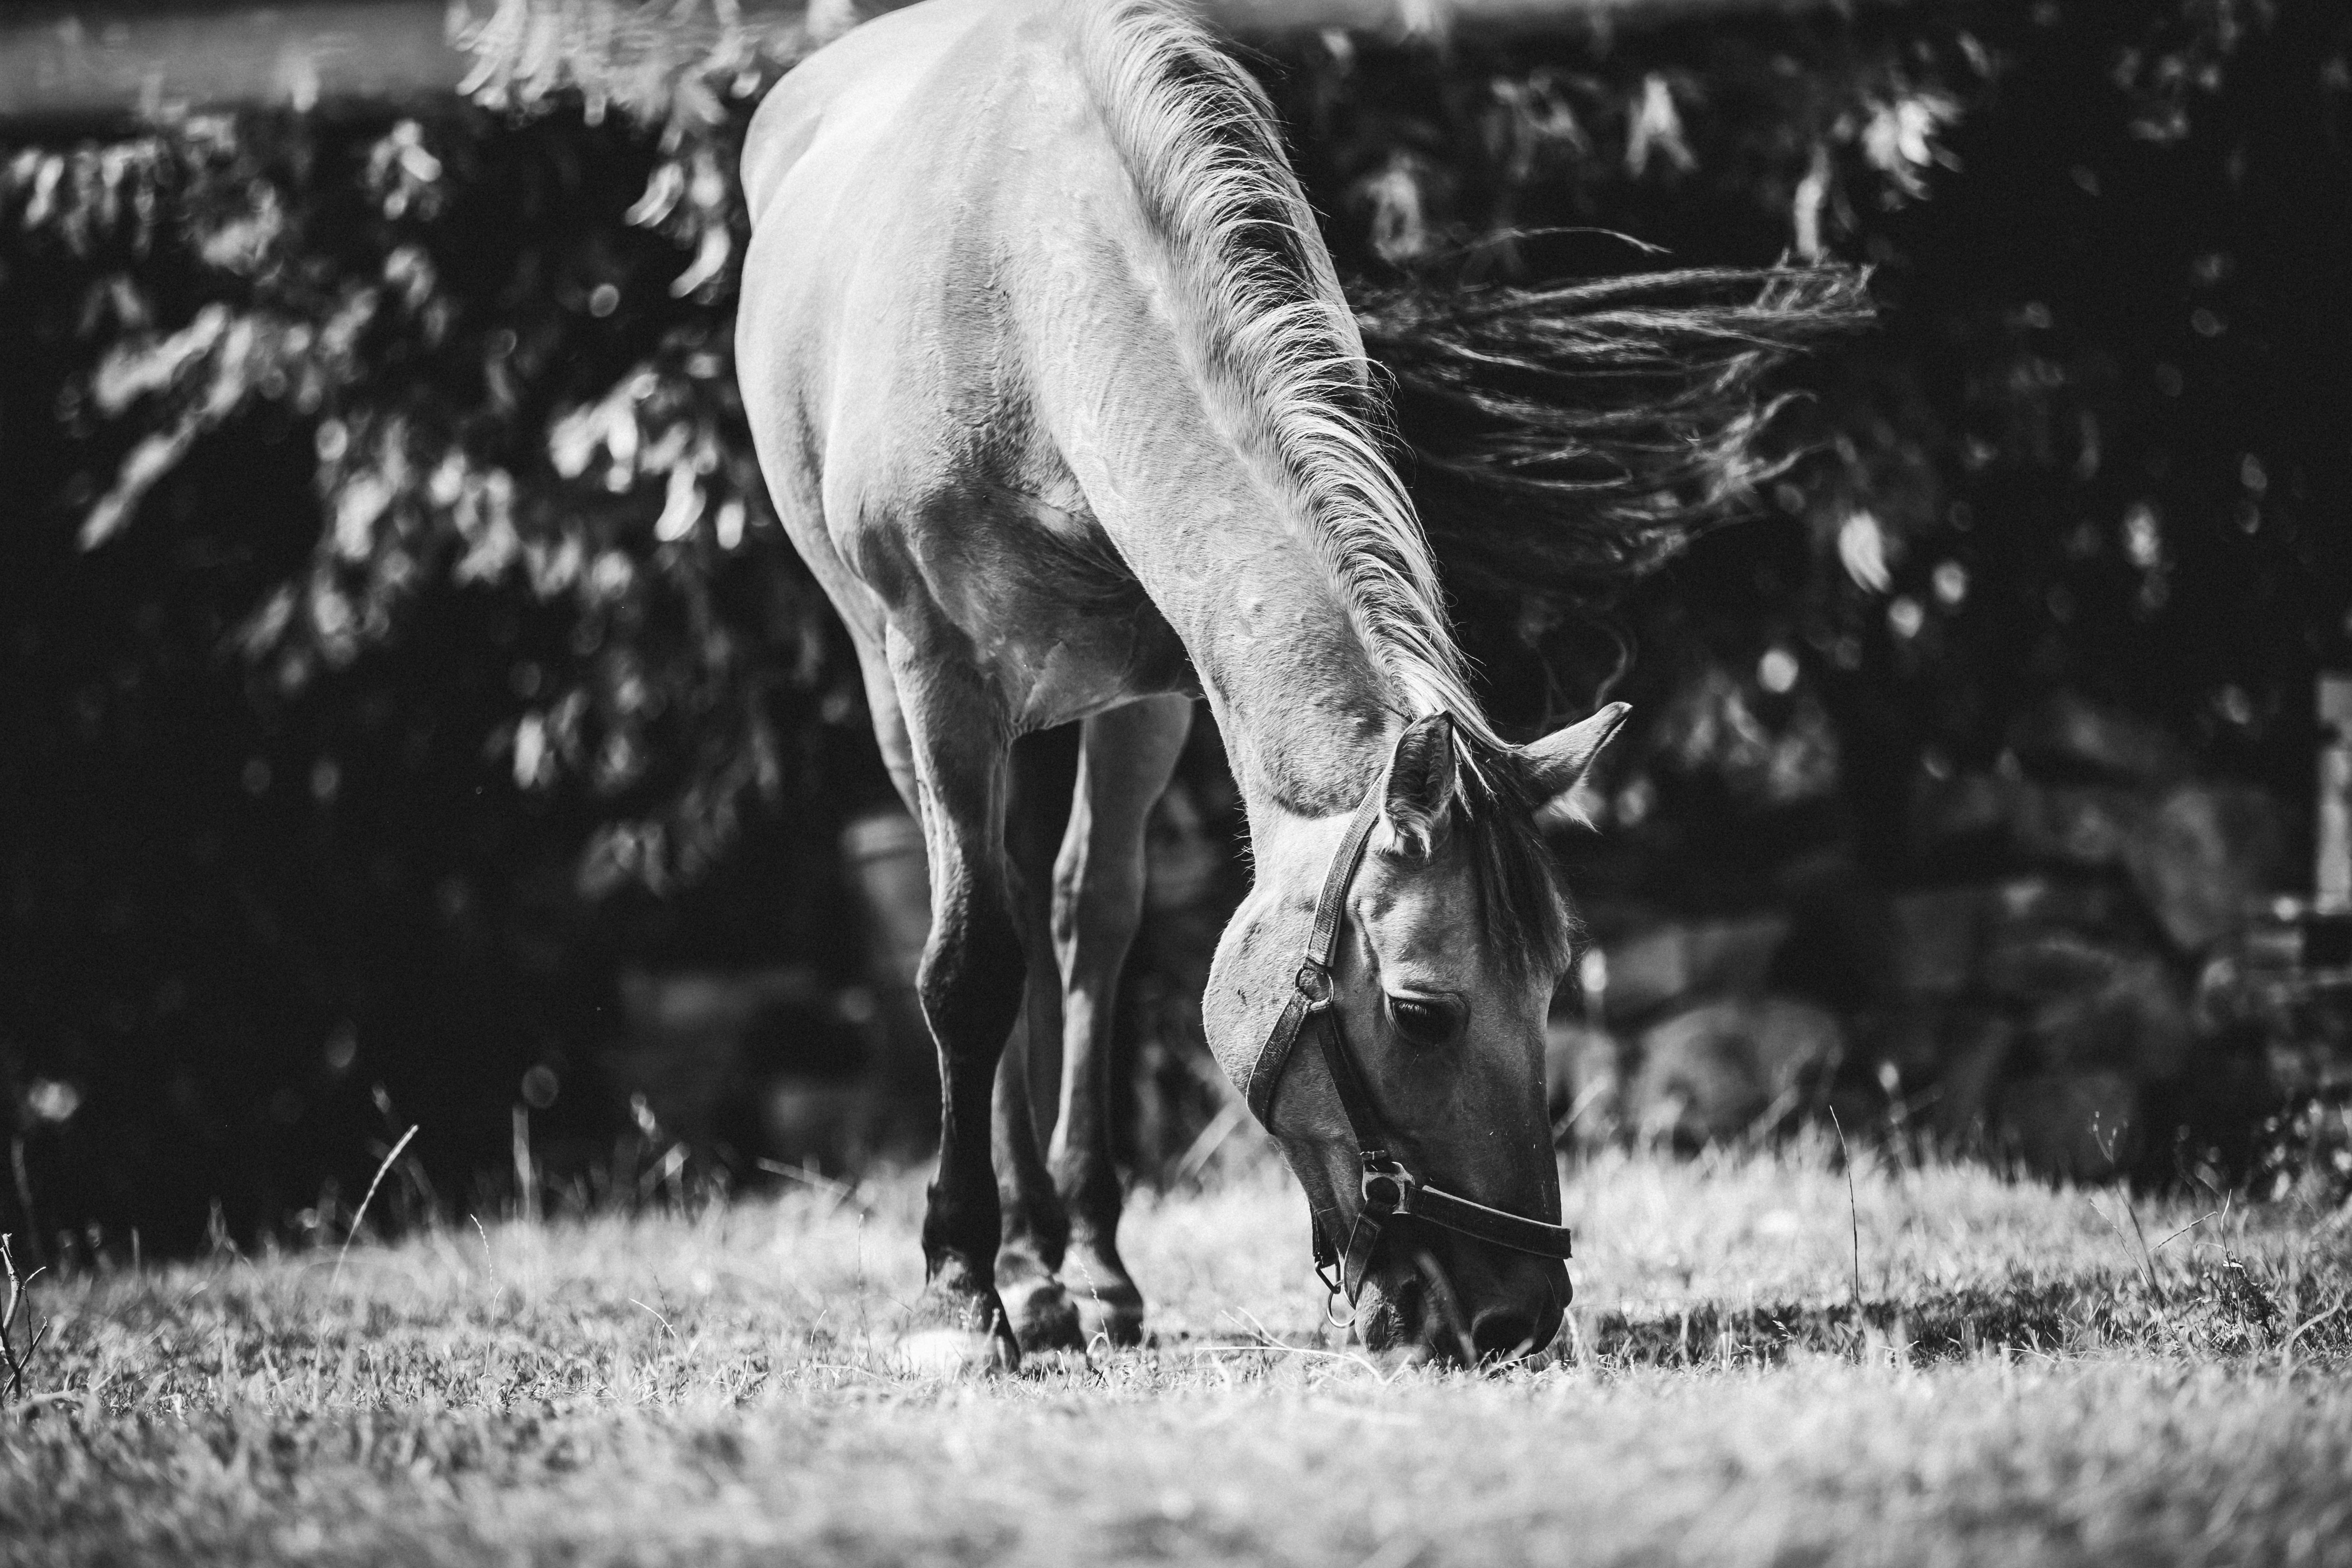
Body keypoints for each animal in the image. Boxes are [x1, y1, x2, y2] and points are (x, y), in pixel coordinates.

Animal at [738, 0, 1832, 1371]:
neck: (1030, 289)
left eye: (1547, 989)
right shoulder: (932, 671)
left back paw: (1061, 1260)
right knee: (987, 931)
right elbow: (963, 968)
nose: (1514, 1315)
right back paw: (1014, 1263)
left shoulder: (1160, 688)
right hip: (902, 687)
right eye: (1422, 1011)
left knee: (1064, 916)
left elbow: (1095, 925)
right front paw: (953, 1291)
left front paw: (1075, 1267)